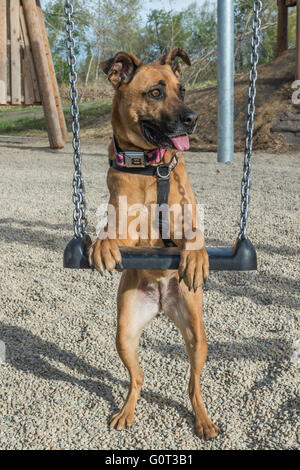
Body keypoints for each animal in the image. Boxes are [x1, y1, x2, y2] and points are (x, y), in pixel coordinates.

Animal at [88, 48, 218, 440]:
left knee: (193, 384)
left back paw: (203, 419)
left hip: (197, 336)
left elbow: (195, 233)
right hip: (125, 332)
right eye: (155, 93)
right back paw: (126, 411)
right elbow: (110, 230)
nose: (193, 119)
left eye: (183, 89)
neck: (150, 167)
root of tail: (161, 301)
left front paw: (196, 257)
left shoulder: (184, 218)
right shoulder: (124, 224)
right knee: (138, 377)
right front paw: (102, 244)